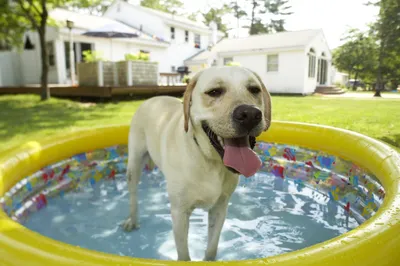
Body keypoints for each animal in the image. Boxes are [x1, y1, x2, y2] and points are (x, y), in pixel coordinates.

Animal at [122, 65, 272, 260]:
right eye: (214, 92)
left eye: (254, 90)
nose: (250, 114)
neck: (210, 161)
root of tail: (152, 99)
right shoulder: (180, 213)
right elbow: (184, 254)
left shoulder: (220, 208)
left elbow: (212, 247)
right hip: (134, 163)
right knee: (133, 194)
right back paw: (132, 220)